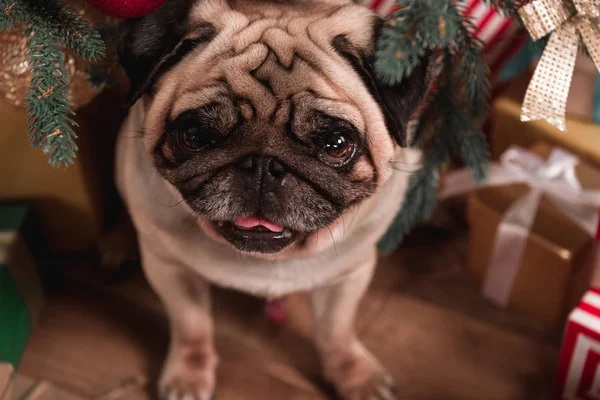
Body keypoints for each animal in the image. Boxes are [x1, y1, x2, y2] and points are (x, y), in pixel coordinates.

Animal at [112, 0, 428, 400]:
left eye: (336, 144)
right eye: (194, 135)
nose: (262, 164)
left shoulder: (350, 273)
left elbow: (336, 330)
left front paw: (357, 377)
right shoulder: (168, 266)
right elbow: (191, 325)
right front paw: (188, 375)